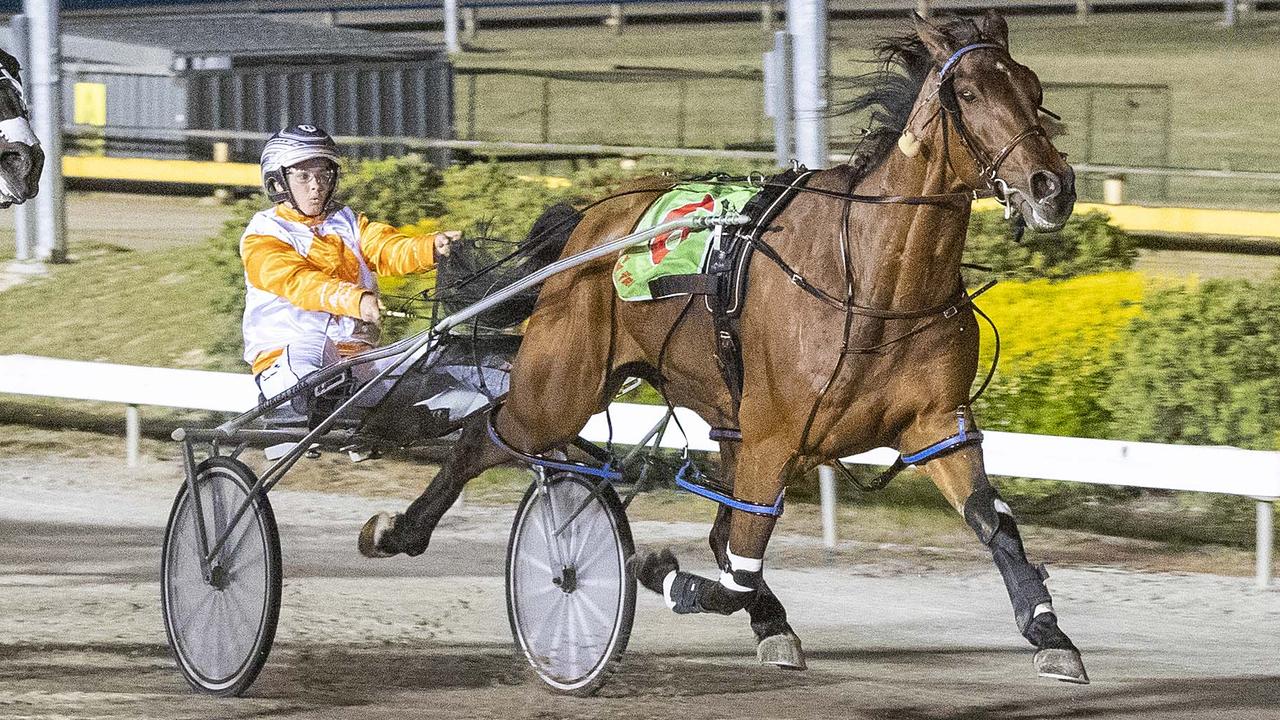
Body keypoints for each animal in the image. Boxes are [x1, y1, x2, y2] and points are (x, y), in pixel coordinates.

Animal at [363, 12, 1090, 681]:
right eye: (967, 92)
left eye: (1032, 87)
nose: (1052, 187)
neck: (871, 280)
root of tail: (590, 222)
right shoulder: (774, 433)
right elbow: (737, 564)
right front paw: (663, 573)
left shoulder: (935, 425)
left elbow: (992, 521)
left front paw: (1050, 634)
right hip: (561, 388)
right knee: (485, 435)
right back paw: (401, 529)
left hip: (716, 410)